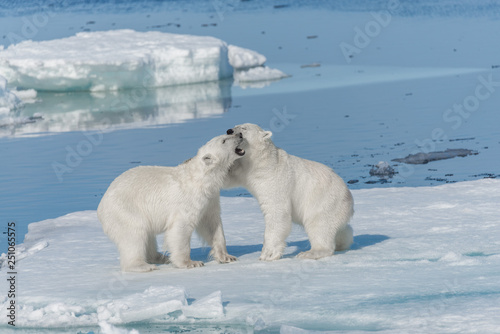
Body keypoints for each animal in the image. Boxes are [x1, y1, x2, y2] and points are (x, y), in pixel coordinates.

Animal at [96, 133, 245, 272]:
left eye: (227, 135)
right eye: (224, 140)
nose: (239, 134)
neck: (202, 179)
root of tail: (100, 207)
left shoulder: (210, 199)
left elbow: (211, 225)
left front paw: (227, 256)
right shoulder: (187, 201)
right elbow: (180, 228)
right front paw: (190, 263)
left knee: (148, 236)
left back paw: (160, 257)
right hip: (125, 210)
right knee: (135, 234)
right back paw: (144, 265)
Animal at [225, 123, 354, 260]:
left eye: (244, 129)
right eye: (235, 126)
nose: (229, 131)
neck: (260, 162)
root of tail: (348, 197)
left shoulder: (274, 180)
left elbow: (277, 212)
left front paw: (267, 254)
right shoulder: (244, 171)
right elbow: (228, 177)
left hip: (324, 201)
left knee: (319, 225)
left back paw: (309, 252)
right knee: (340, 229)